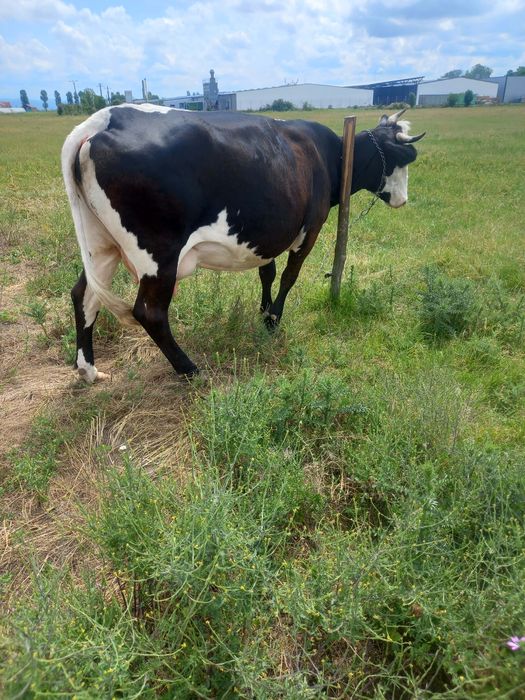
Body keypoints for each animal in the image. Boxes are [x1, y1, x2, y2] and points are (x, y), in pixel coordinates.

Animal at [62, 104, 425, 382]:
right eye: (405, 157)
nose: (403, 200)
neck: (330, 156)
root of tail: (105, 118)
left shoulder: (269, 232)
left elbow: (268, 272)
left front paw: (264, 313)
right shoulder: (310, 228)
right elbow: (289, 276)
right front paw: (274, 319)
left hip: (101, 246)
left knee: (84, 296)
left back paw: (89, 370)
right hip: (158, 254)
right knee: (150, 313)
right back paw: (190, 370)